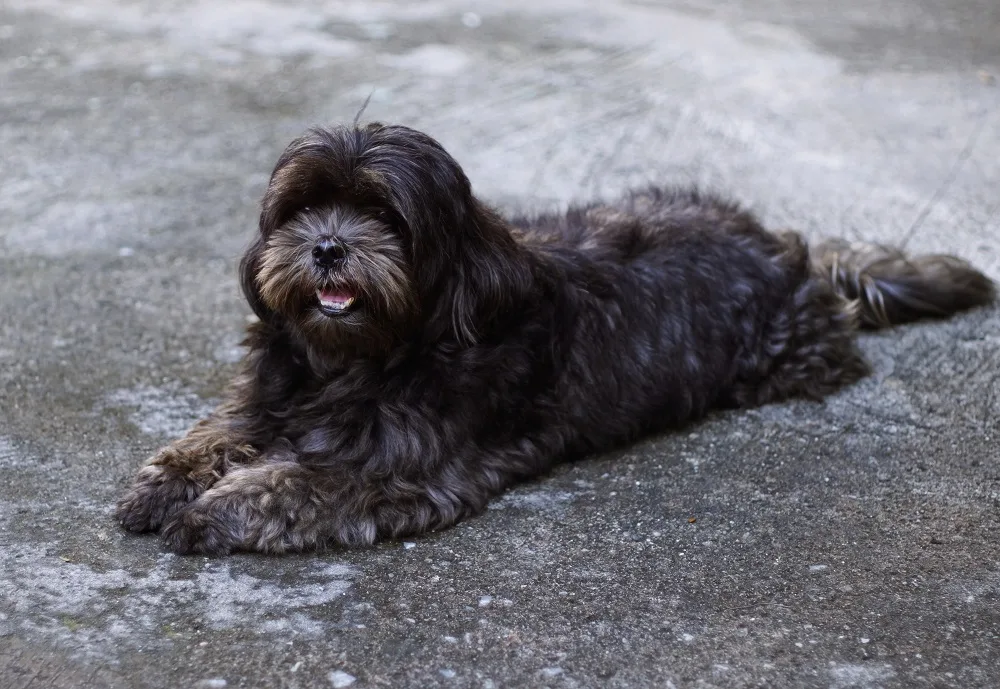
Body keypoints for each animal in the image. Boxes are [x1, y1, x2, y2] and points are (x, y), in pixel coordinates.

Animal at [115, 122, 992, 552]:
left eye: (384, 215)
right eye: (301, 209)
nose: (328, 246)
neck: (356, 360)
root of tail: (784, 246)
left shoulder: (399, 468)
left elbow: (294, 483)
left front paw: (216, 510)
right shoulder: (266, 397)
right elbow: (217, 431)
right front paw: (168, 482)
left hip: (790, 354)